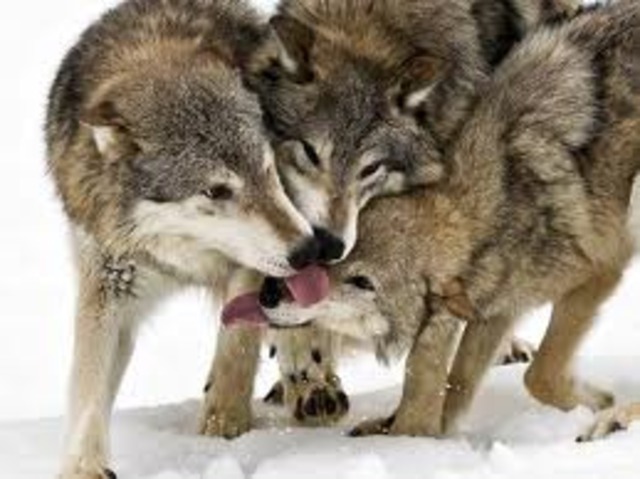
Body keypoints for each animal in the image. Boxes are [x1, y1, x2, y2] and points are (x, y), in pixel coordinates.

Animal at [45, 0, 325, 477]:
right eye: (216, 191)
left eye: (267, 168)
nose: (308, 251)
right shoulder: (108, 282)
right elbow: (88, 386)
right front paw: (84, 465)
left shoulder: (250, 266)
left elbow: (236, 348)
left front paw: (224, 428)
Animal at [263, 0, 640, 437]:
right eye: (321, 264)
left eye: (363, 282)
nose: (269, 294)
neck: (491, 207)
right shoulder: (493, 307)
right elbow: (455, 384)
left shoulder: (598, 274)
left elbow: (538, 376)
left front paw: (598, 403)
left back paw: (618, 419)